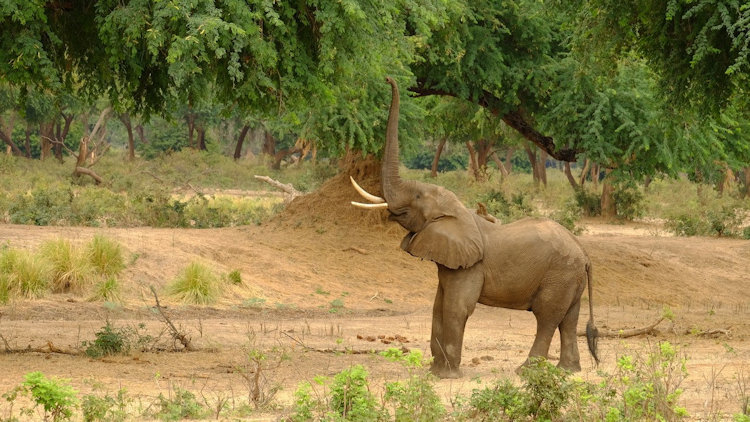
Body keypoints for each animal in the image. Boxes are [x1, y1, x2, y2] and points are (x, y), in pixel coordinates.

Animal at [350, 76, 604, 380]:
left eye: (418, 198)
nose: (390, 79)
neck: (460, 212)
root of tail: (585, 254)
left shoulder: (471, 266)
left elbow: (456, 308)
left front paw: (447, 376)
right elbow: (438, 306)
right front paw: (436, 372)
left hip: (559, 274)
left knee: (547, 316)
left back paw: (526, 372)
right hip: (570, 277)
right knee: (569, 318)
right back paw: (567, 371)